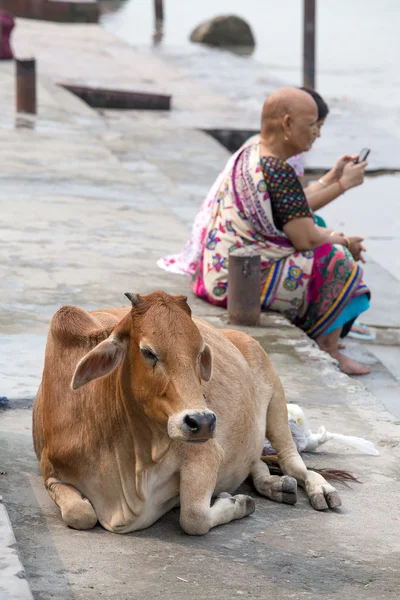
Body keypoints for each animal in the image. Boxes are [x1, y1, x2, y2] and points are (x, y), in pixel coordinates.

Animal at [32, 290, 342, 536]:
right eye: (148, 352)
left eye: (201, 351)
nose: (202, 422)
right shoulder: (50, 471)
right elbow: (80, 514)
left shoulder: (205, 453)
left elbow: (194, 517)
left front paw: (238, 502)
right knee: (257, 464)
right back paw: (275, 485)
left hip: (276, 397)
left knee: (293, 462)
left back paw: (319, 490)